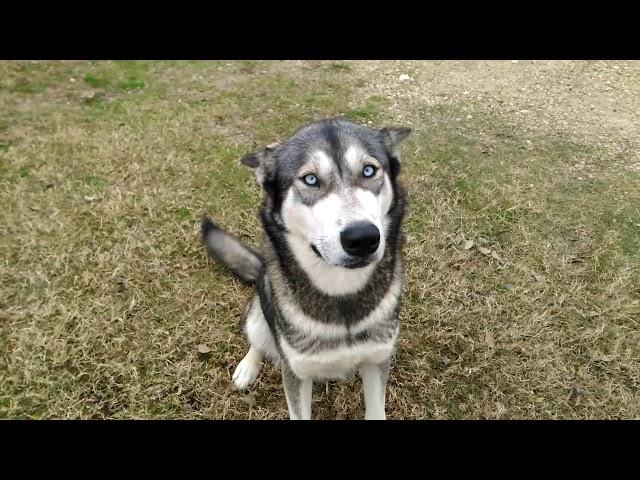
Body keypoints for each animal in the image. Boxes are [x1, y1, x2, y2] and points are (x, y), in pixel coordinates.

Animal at [201, 117, 410, 420]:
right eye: (310, 179)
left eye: (369, 170)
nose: (362, 238)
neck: (340, 291)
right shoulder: (296, 373)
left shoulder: (377, 360)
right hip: (258, 311)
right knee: (259, 339)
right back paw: (248, 367)